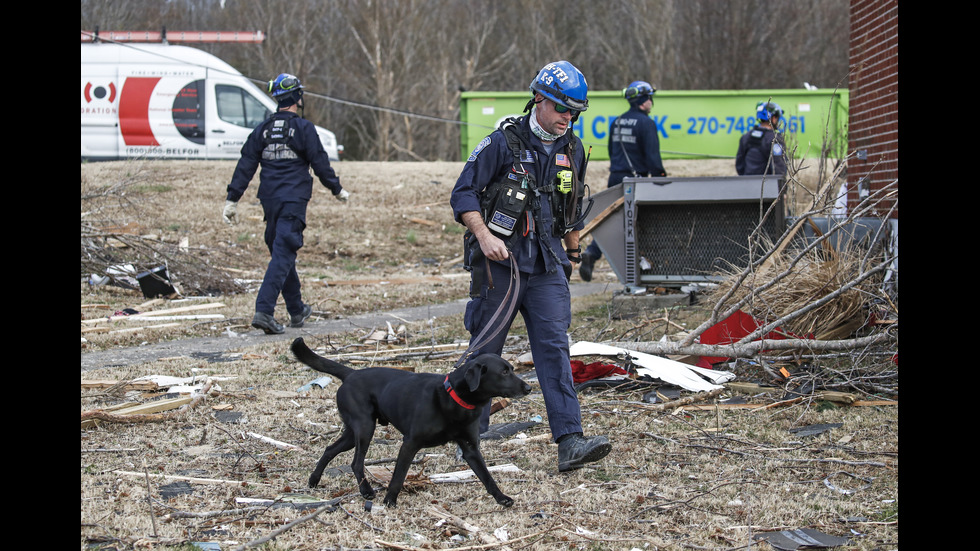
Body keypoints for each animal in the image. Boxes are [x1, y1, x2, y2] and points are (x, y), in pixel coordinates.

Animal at [292, 336, 528, 508]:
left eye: (511, 369)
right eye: (504, 372)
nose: (529, 387)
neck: (453, 398)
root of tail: (350, 374)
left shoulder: (470, 448)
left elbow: (487, 476)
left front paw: (501, 498)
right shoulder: (410, 443)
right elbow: (398, 476)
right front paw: (389, 501)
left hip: (352, 433)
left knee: (329, 449)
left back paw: (314, 480)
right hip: (365, 428)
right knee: (356, 462)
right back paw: (366, 491)